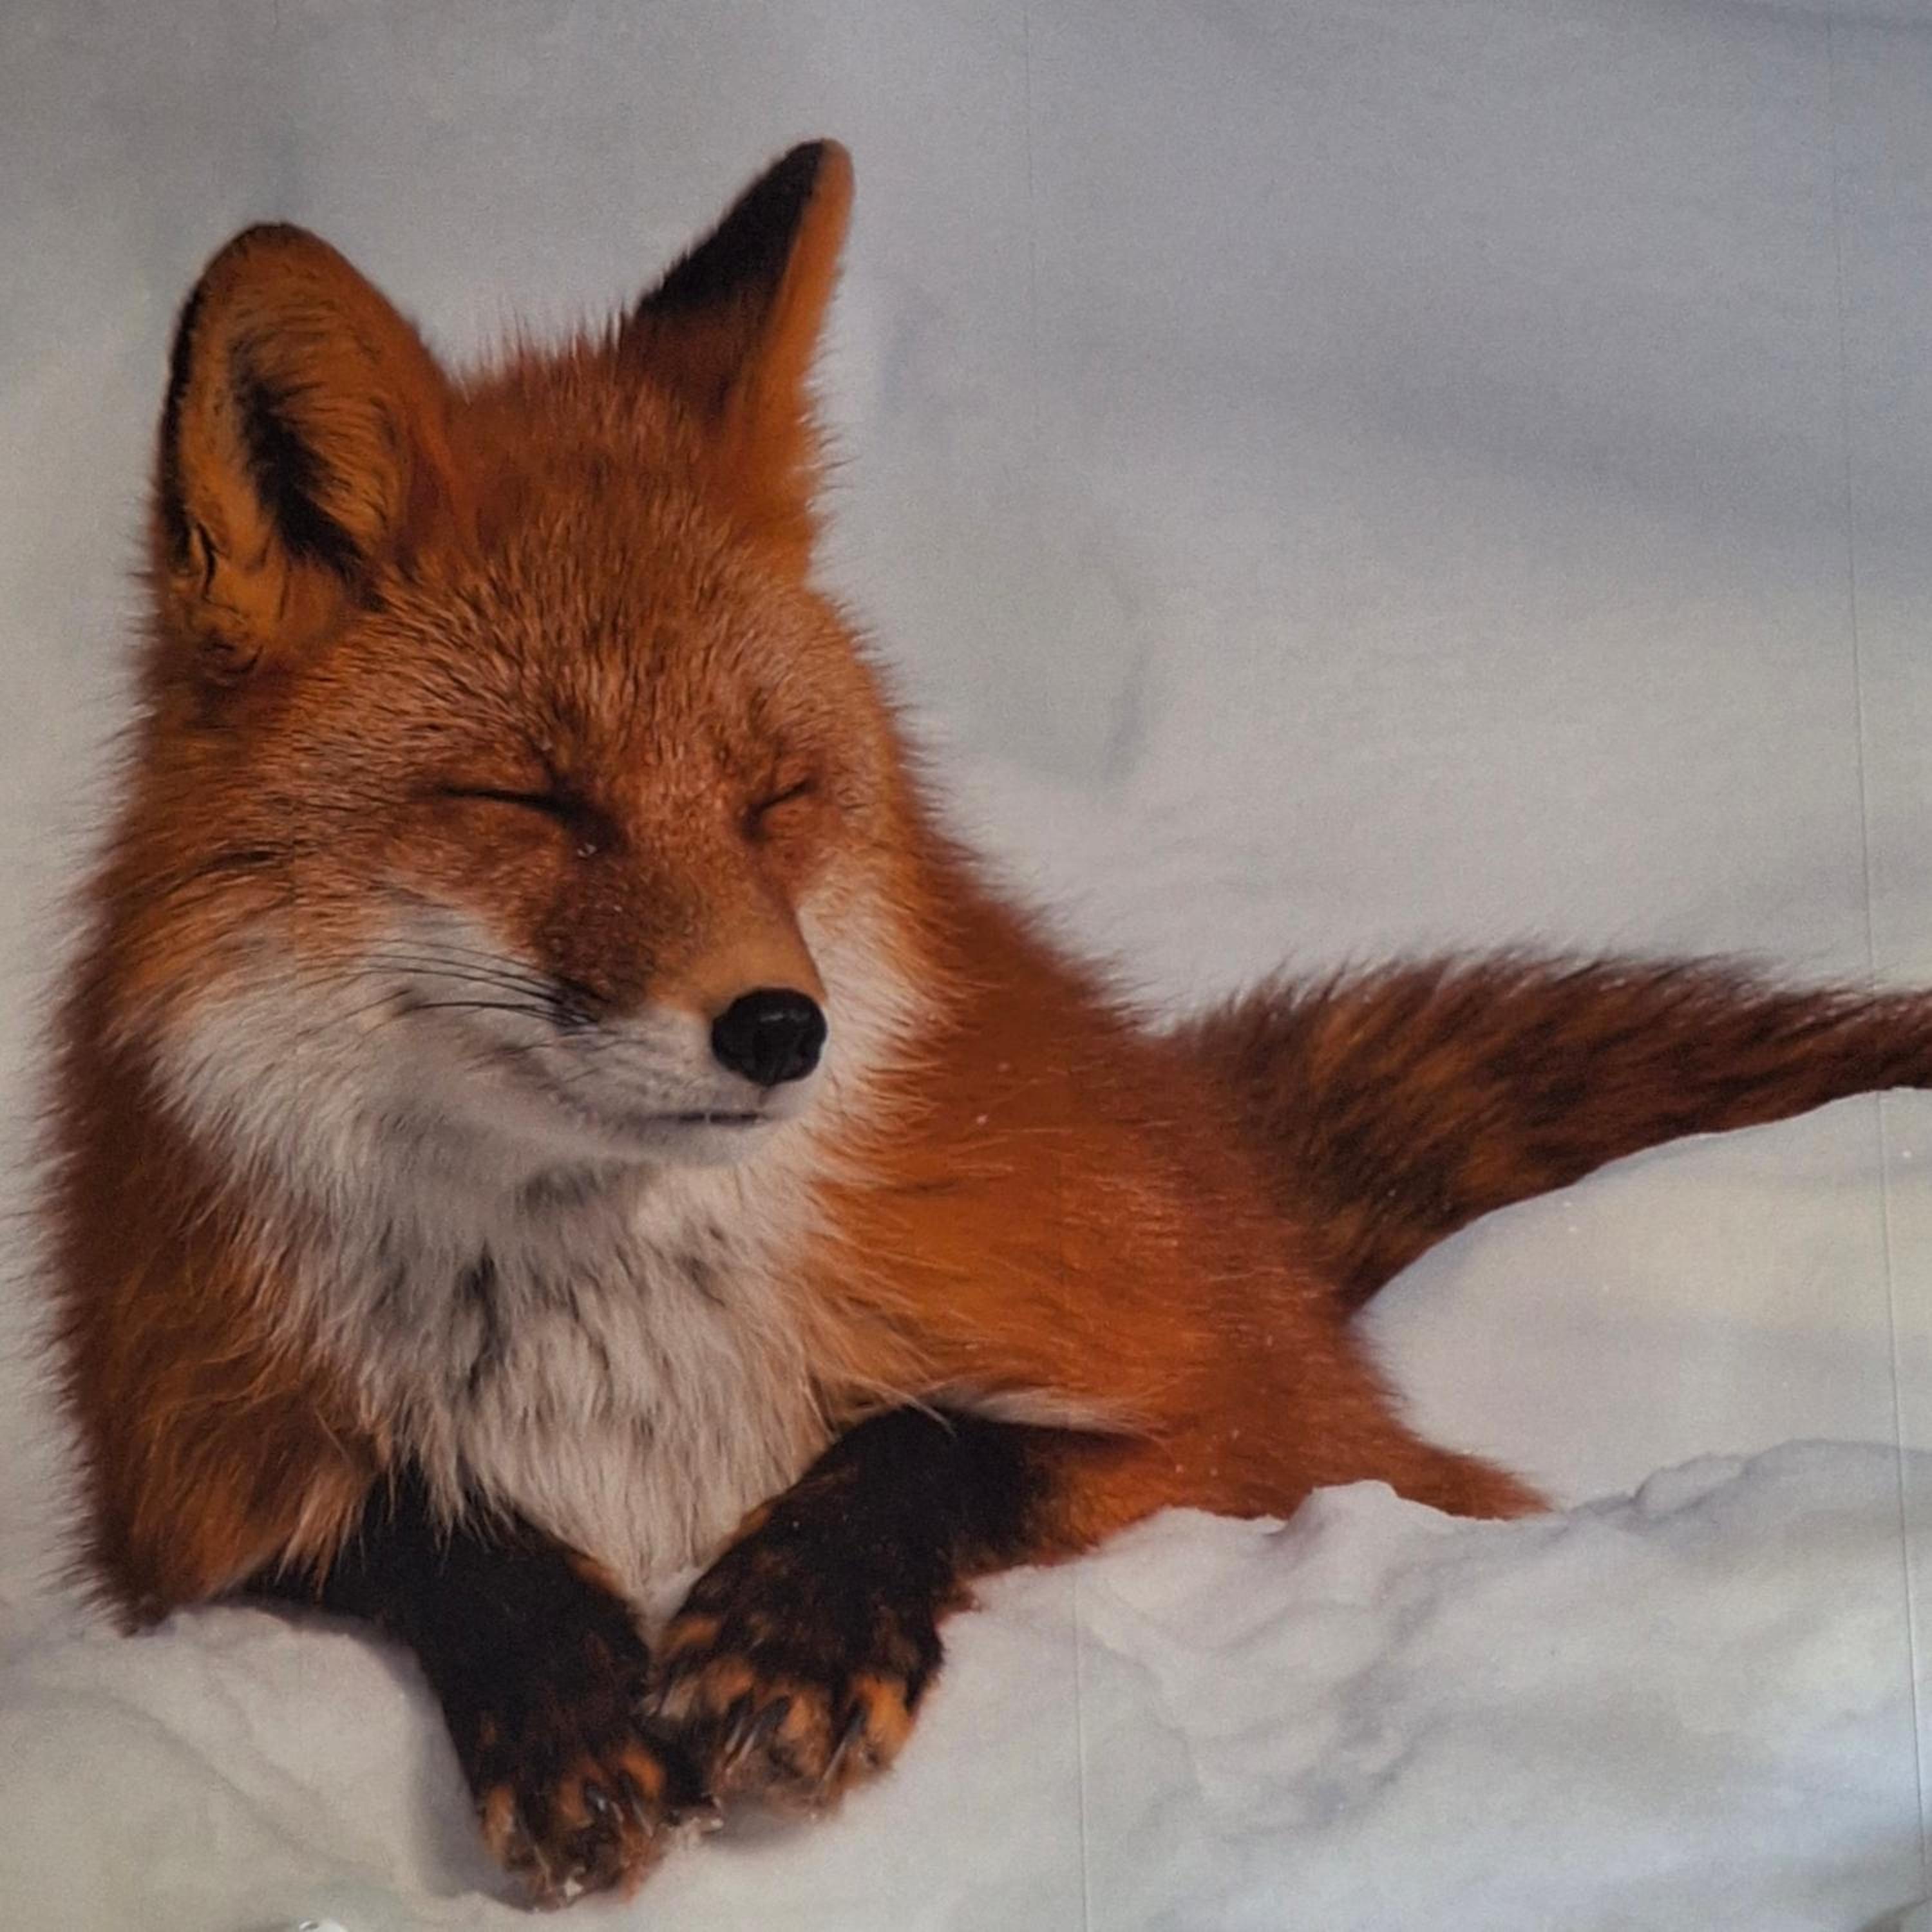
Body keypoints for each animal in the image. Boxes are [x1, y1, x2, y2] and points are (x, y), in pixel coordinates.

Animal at [42, 137, 1932, 1907]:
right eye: (537, 802)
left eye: (774, 798)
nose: (779, 1031)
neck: (618, 1352)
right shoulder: (178, 1503)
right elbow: (399, 1532)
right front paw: (563, 1699)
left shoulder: (1271, 1437)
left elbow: (941, 1439)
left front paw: (797, 1631)